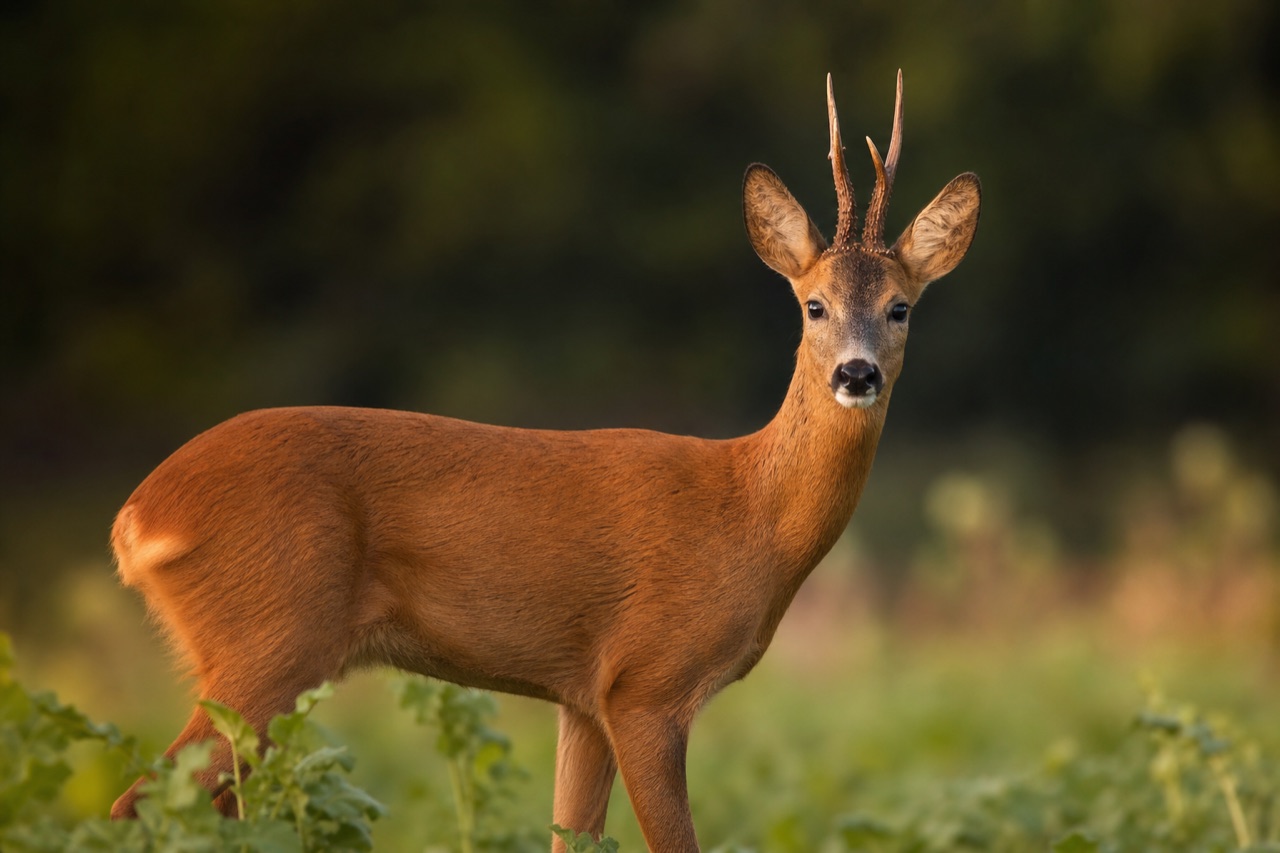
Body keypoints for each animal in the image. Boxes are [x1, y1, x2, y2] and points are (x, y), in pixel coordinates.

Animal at [108, 72, 980, 851]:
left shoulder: (582, 698)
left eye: (900, 307)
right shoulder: (647, 682)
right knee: (141, 799)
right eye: (813, 305)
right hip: (269, 637)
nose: (857, 374)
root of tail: (139, 515)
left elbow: (573, 834)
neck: (748, 514)